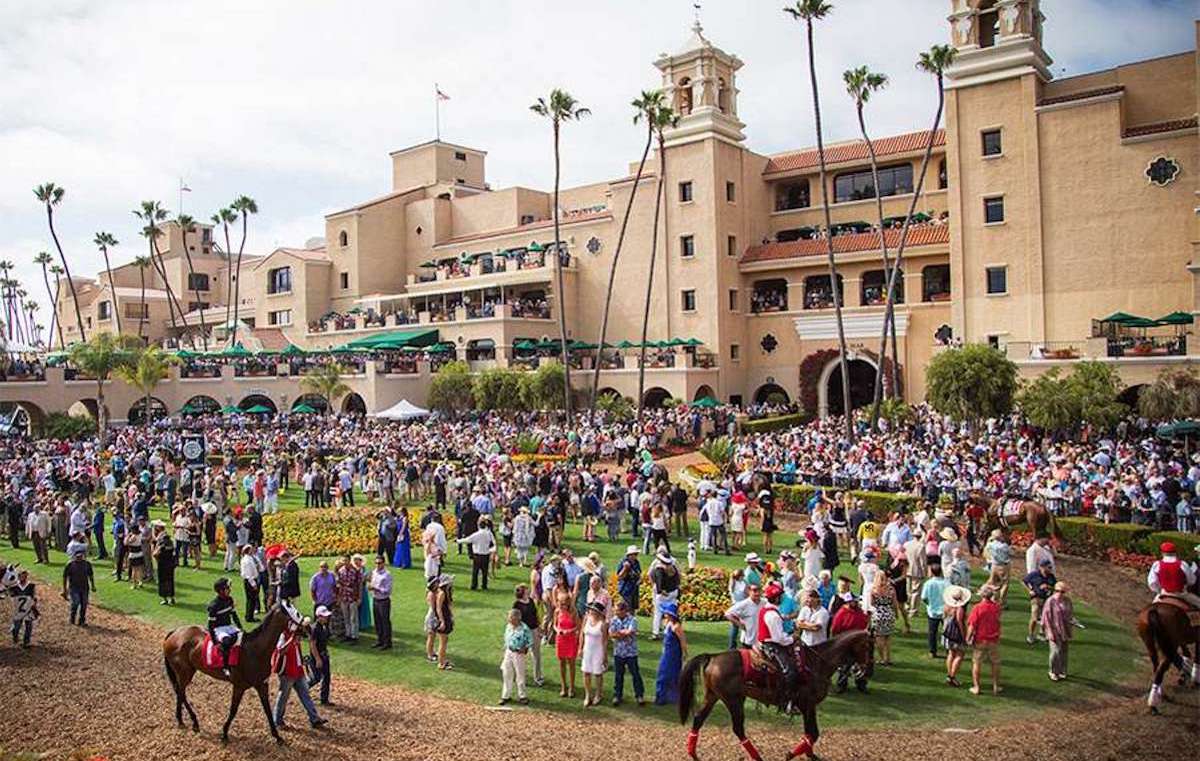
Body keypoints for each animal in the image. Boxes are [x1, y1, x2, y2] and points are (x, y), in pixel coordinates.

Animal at [163, 595, 304, 739]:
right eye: (296, 613)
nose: (307, 627)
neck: (255, 649)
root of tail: (175, 632)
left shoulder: (261, 684)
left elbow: (267, 709)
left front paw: (277, 736)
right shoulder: (239, 686)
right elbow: (234, 709)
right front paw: (225, 732)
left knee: (179, 692)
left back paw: (181, 719)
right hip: (184, 672)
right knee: (180, 692)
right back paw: (193, 721)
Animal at [686, 628, 873, 758]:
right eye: (868, 646)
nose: (868, 671)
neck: (818, 663)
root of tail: (714, 657)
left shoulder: (808, 706)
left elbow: (809, 733)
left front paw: (810, 755)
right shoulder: (807, 704)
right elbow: (813, 734)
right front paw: (791, 754)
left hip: (713, 696)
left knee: (698, 719)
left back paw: (692, 753)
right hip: (734, 700)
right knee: (738, 728)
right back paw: (757, 756)